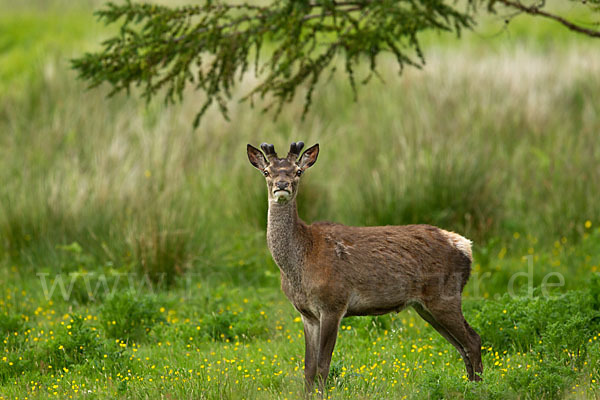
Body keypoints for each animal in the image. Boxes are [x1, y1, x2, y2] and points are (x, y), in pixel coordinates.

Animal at [246, 141, 486, 394]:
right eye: (267, 172)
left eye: (298, 171)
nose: (282, 185)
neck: (299, 266)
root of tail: (466, 246)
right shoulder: (307, 314)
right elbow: (308, 367)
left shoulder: (334, 303)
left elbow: (323, 364)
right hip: (425, 307)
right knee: (462, 346)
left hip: (445, 296)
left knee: (473, 340)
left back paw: (479, 388)